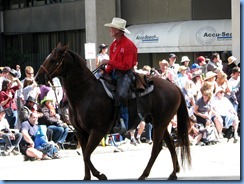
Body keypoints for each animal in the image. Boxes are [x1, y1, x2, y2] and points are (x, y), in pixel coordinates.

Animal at [34, 42, 191, 180]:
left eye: (53, 59)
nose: (37, 77)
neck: (85, 93)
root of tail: (174, 86)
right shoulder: (81, 133)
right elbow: (85, 155)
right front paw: (87, 177)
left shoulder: (97, 131)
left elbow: (87, 156)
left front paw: (100, 175)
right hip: (159, 123)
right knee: (169, 144)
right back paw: (173, 173)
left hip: (160, 122)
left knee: (157, 148)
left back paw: (144, 175)